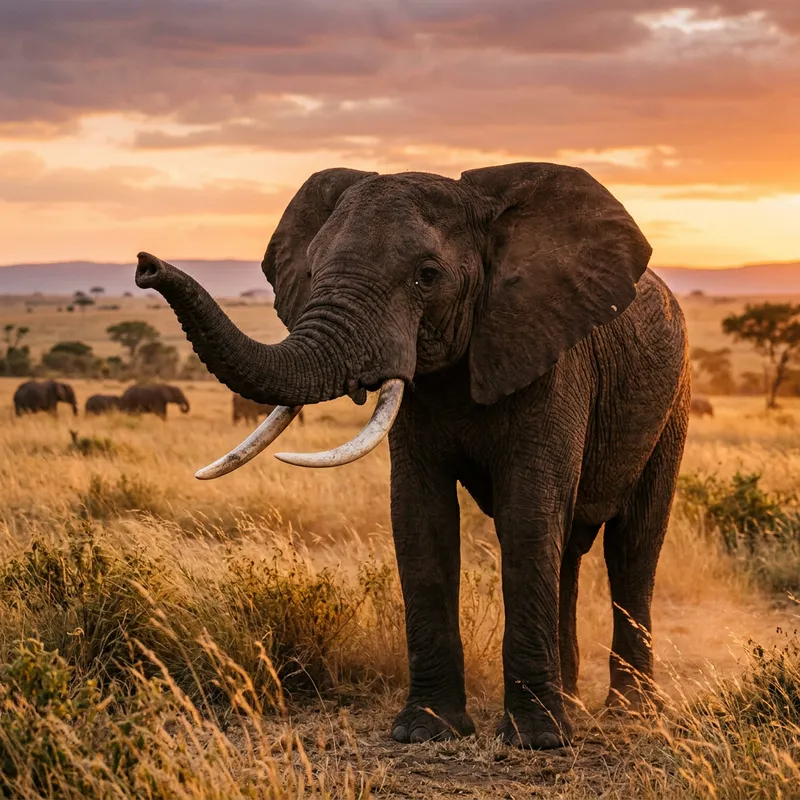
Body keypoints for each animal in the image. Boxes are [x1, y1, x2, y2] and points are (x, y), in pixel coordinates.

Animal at [134, 162, 690, 750]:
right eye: (312, 269)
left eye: (427, 275)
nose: (145, 265)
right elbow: (420, 518)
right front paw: (425, 730)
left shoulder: (552, 356)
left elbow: (528, 513)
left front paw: (535, 739)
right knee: (568, 551)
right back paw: (575, 704)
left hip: (672, 401)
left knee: (632, 546)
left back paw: (630, 714)